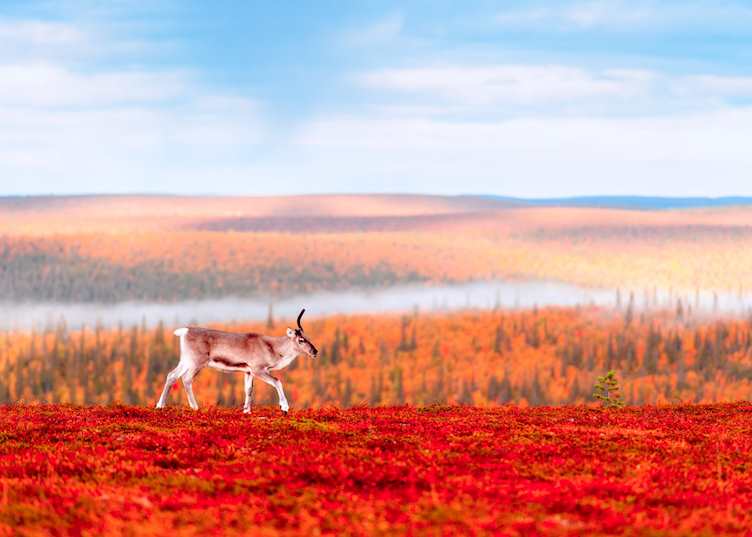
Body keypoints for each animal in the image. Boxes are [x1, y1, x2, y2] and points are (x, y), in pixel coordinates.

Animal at [155, 309, 318, 414]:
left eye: (308, 337)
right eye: (301, 340)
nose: (315, 351)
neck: (273, 349)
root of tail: (184, 331)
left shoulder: (248, 371)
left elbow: (249, 390)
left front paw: (247, 411)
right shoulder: (258, 369)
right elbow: (277, 381)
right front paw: (284, 407)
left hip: (186, 360)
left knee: (171, 375)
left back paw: (160, 405)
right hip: (197, 361)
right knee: (186, 379)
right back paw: (195, 407)